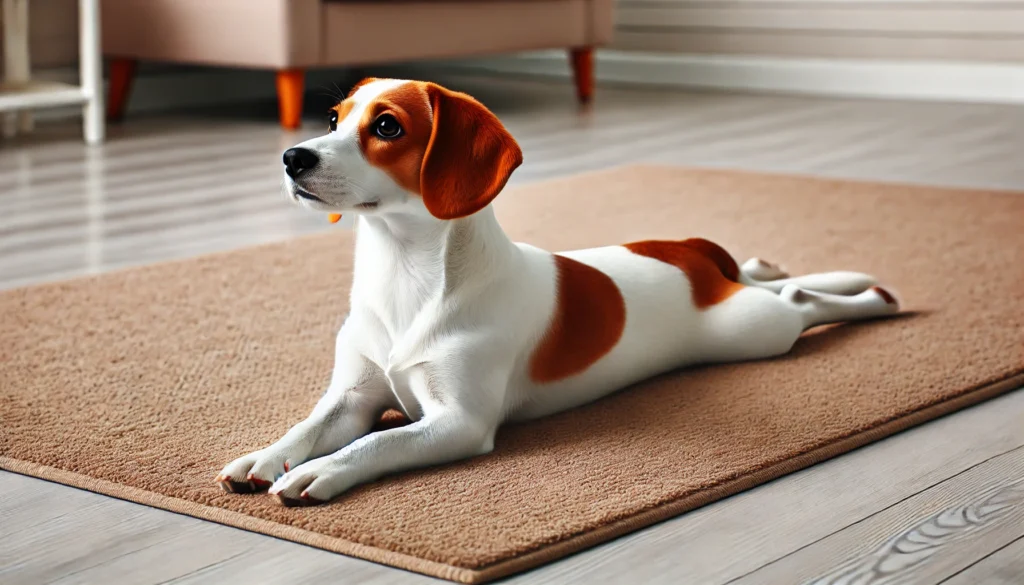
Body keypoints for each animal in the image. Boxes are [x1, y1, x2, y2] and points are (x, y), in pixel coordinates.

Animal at [214, 78, 897, 508]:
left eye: (386, 125)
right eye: (333, 119)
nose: (292, 157)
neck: (406, 275)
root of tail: (696, 257)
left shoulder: (458, 421)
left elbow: (380, 439)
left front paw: (323, 470)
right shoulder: (353, 397)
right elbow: (311, 423)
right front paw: (268, 456)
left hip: (752, 332)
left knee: (802, 304)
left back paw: (875, 301)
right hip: (741, 297)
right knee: (770, 280)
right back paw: (766, 261)